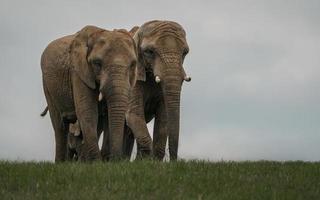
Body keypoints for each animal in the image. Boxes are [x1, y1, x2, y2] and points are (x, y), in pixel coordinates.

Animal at [40, 25, 138, 162]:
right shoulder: (78, 72)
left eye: (133, 64)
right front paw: (97, 163)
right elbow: (87, 110)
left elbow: (107, 115)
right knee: (59, 126)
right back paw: (60, 163)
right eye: (97, 63)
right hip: (47, 85)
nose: (117, 160)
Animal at [124, 20, 191, 161]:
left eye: (185, 53)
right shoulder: (133, 77)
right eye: (149, 52)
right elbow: (134, 114)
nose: (173, 161)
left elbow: (163, 117)